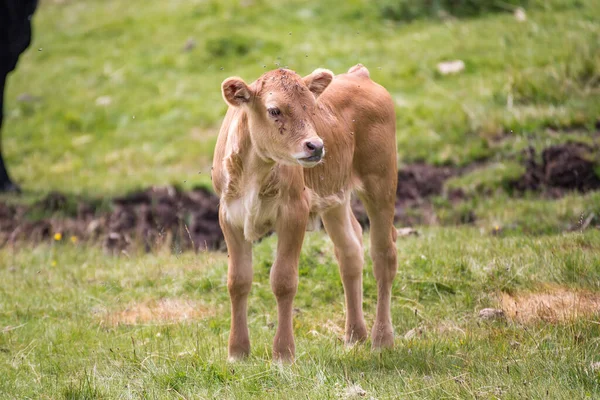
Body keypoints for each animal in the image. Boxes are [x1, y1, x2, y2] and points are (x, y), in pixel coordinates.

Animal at [212, 65, 398, 362]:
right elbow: (238, 281)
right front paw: (238, 352)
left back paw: (381, 339)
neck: (254, 170)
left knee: (383, 255)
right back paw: (354, 336)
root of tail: (359, 75)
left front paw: (283, 353)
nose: (316, 146)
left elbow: (283, 280)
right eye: (274, 110)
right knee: (350, 251)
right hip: (335, 198)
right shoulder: (229, 216)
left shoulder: (293, 212)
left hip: (381, 182)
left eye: (311, 108)